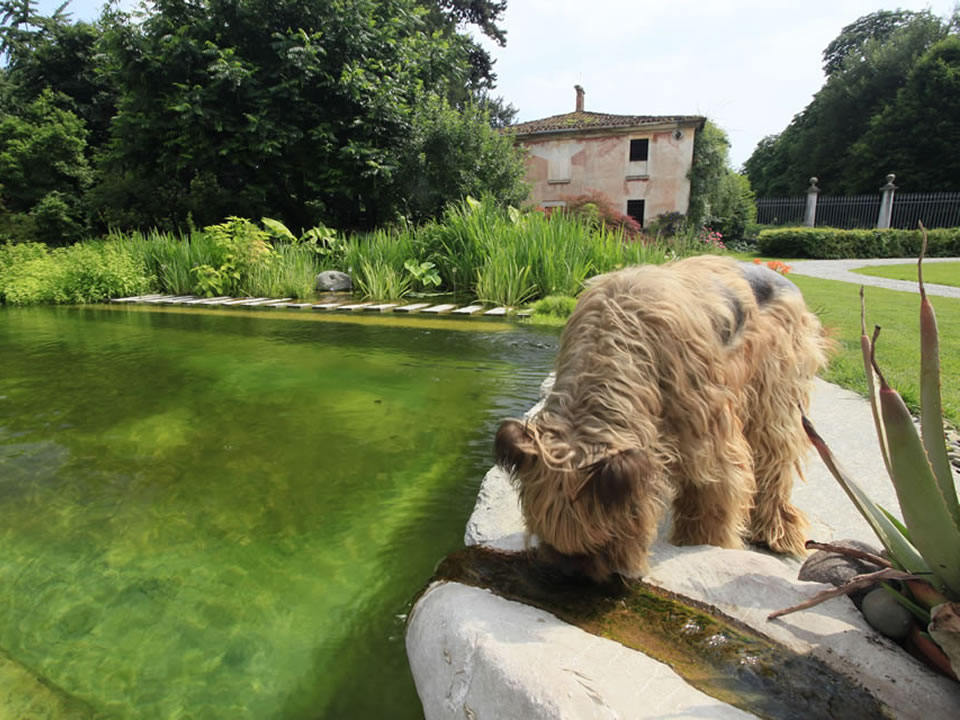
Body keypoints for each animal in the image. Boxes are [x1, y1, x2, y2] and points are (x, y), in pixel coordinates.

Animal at [498, 256, 828, 584]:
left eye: (603, 543)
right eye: (544, 535)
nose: (569, 572)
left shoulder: (708, 430)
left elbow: (716, 490)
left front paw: (706, 546)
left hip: (776, 382)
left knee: (774, 454)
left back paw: (777, 530)